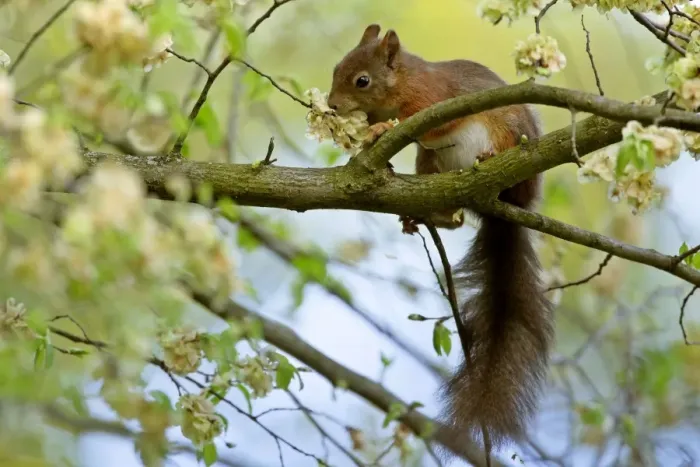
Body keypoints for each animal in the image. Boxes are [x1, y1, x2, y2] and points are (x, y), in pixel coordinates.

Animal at [328, 24, 555, 461]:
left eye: (362, 80)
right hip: (429, 165)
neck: (402, 83)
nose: (330, 105)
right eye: (335, 69)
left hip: (508, 139)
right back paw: (425, 216)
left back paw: (488, 159)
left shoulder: (436, 101)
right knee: (452, 219)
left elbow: (427, 126)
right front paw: (368, 138)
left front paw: (381, 129)